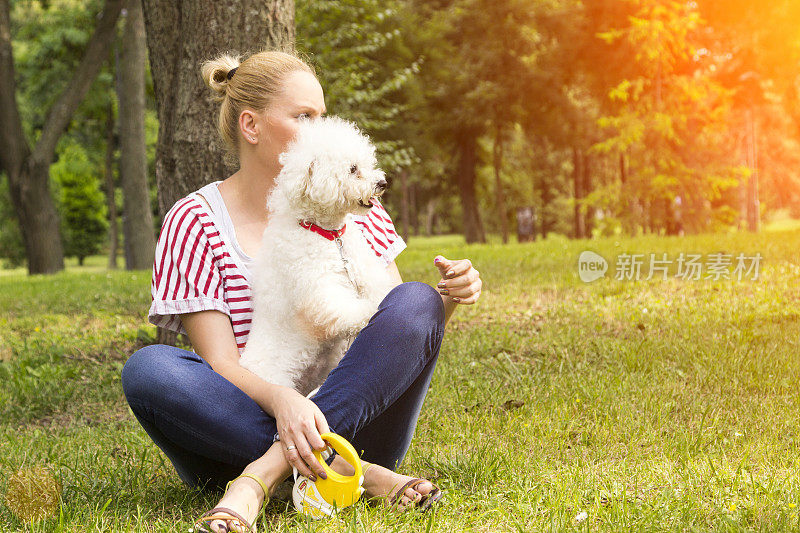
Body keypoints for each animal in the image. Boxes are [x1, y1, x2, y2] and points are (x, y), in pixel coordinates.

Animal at [239, 118, 398, 396]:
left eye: (368, 163)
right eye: (353, 169)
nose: (382, 183)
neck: (330, 236)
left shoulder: (365, 271)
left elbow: (380, 288)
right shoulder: (320, 289)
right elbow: (350, 308)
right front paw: (372, 311)